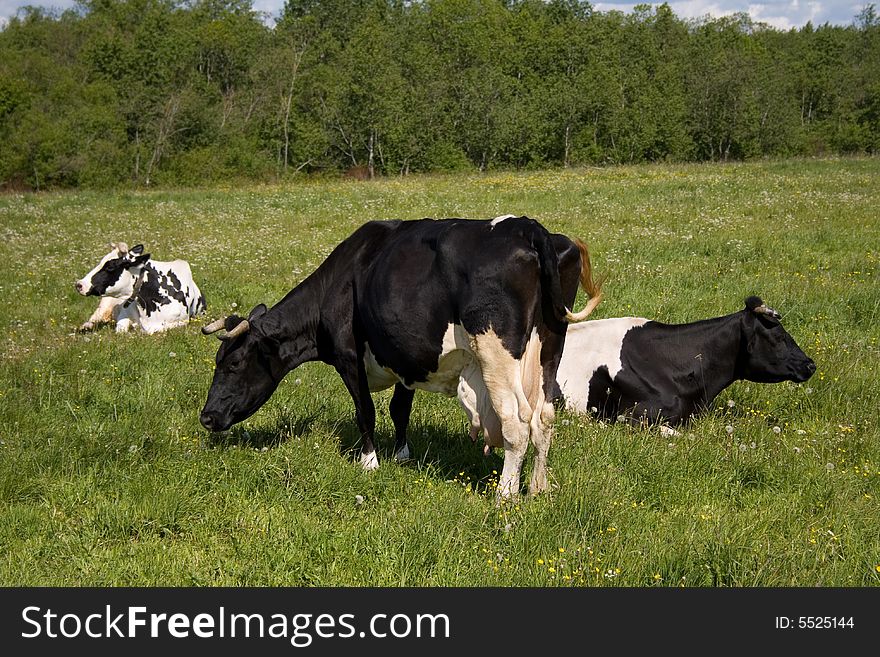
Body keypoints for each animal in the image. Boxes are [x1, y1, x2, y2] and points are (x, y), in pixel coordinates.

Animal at [198, 218, 604, 500]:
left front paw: (370, 462)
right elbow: (399, 409)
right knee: (544, 417)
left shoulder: (348, 356)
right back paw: (538, 487)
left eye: (232, 364)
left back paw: (505, 495)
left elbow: (366, 411)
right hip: (550, 345)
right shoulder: (407, 356)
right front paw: (402, 455)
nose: (207, 417)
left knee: (517, 421)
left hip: (497, 354)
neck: (342, 277)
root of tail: (527, 227)